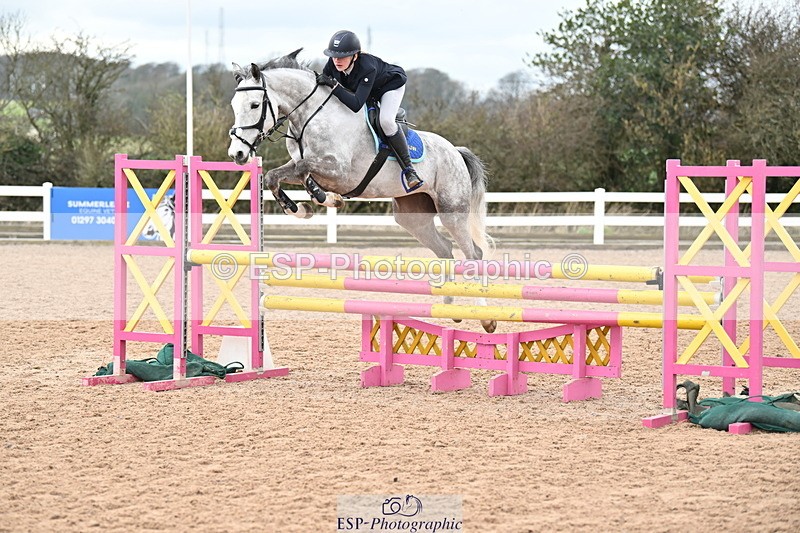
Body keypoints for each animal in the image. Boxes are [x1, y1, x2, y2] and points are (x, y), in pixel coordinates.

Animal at [227, 49, 496, 332]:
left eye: (254, 105)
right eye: (234, 105)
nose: (237, 154)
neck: (312, 116)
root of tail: (455, 151)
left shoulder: (340, 172)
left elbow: (303, 169)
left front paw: (324, 198)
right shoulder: (302, 166)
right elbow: (275, 176)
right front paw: (301, 208)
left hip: (451, 211)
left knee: (474, 254)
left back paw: (485, 316)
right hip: (413, 217)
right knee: (444, 249)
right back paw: (448, 305)